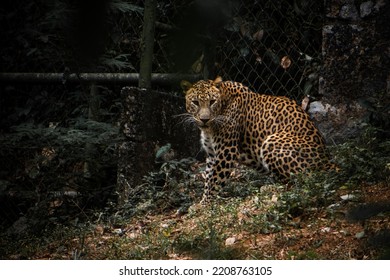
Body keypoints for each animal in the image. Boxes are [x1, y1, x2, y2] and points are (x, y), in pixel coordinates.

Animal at [181, 76, 334, 202]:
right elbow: (208, 179)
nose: (204, 119)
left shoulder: (227, 152)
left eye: (212, 101)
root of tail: (328, 161)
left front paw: (204, 205)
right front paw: (201, 203)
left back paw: (269, 189)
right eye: (195, 102)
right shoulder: (212, 154)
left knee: (300, 181)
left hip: (273, 140)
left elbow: (215, 180)